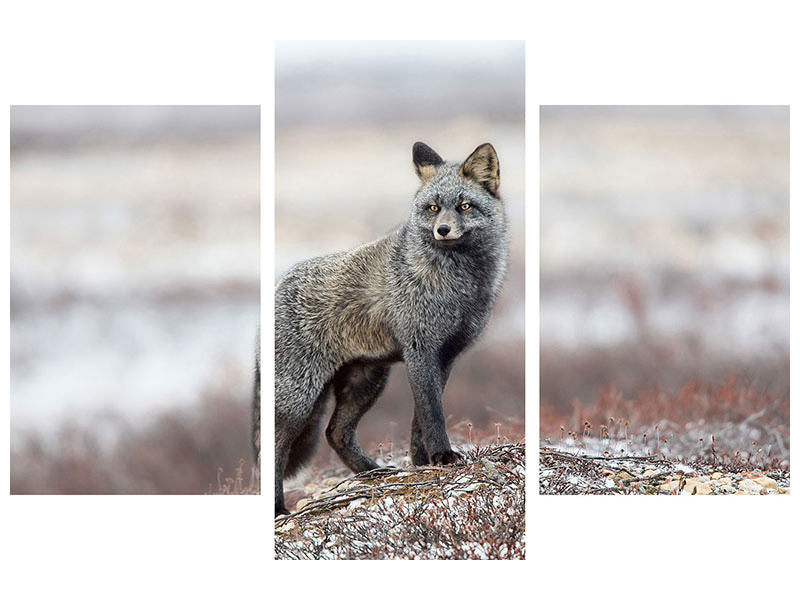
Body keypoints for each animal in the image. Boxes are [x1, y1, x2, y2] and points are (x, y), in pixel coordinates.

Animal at [259, 141, 508, 515]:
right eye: (433, 208)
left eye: (465, 205)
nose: (443, 230)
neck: (458, 286)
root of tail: (279, 285)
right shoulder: (421, 349)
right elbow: (433, 413)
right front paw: (442, 456)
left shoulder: (445, 355)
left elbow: (421, 418)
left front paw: (423, 462)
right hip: (299, 400)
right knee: (276, 447)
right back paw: (277, 509)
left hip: (367, 382)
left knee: (336, 433)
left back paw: (373, 473)